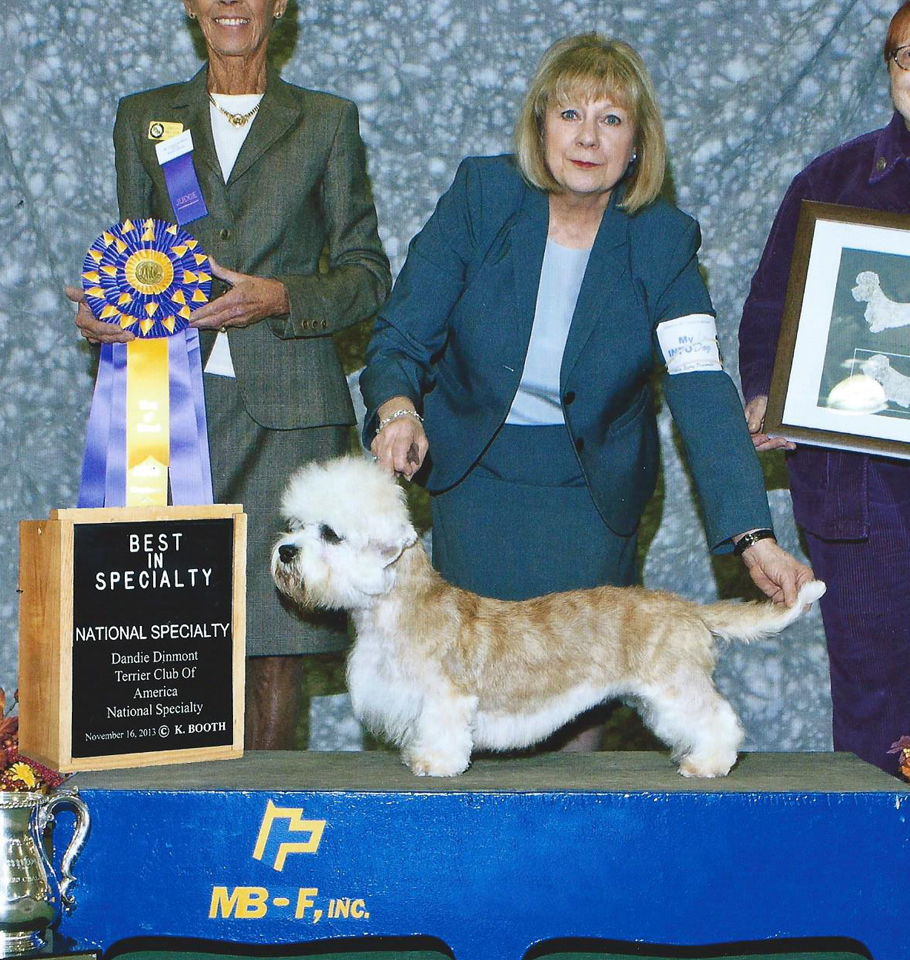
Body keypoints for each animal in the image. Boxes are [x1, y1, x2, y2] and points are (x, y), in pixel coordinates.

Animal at [270, 456, 828, 780]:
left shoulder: (446, 697)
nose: (284, 552)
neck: (394, 608)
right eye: (296, 525)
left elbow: (445, 732)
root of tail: (687, 606)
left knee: (719, 720)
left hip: (674, 686)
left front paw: (434, 764)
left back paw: (706, 763)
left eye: (331, 534)